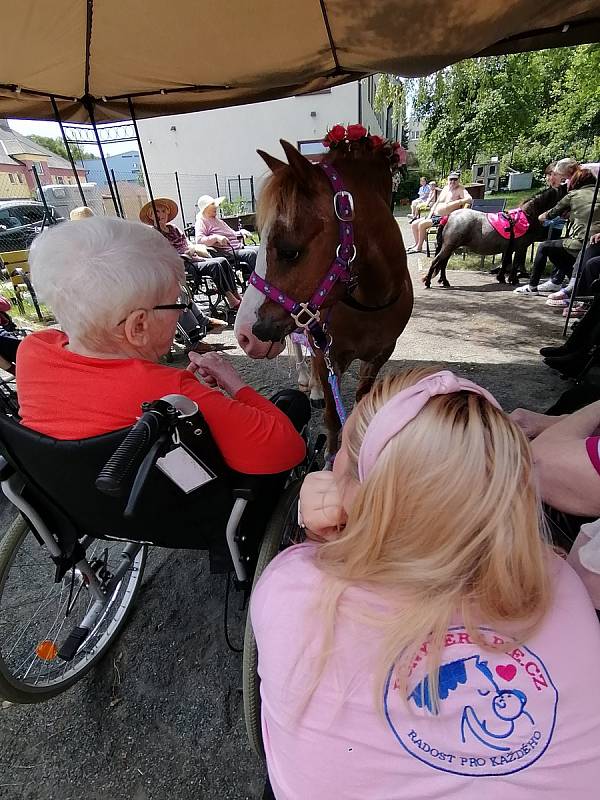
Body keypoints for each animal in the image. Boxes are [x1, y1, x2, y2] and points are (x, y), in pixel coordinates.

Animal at [233, 140, 412, 454]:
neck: (370, 305)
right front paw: (330, 454)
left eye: (289, 250)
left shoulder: (380, 356)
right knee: (299, 347)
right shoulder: (326, 352)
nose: (244, 335)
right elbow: (331, 416)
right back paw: (309, 383)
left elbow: (361, 401)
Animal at [422, 186, 568, 290]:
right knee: (437, 261)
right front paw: (513, 280)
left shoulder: (509, 248)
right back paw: (428, 281)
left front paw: (502, 278)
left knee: (443, 264)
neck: (526, 217)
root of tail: (450, 216)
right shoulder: (520, 247)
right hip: (449, 246)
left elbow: (506, 262)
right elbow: (514, 263)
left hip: (450, 247)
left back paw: (444, 281)